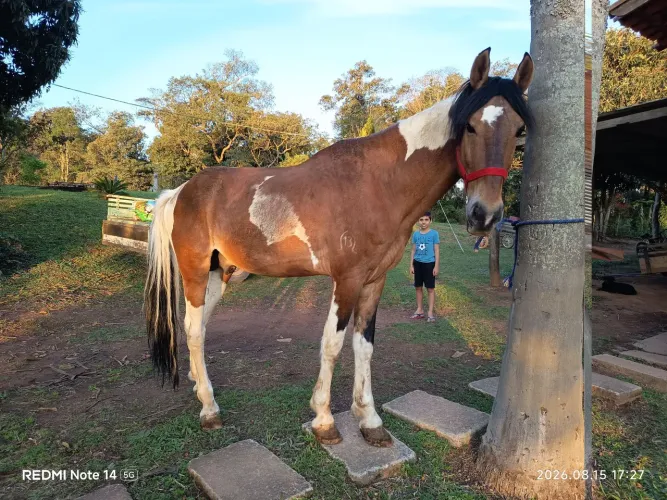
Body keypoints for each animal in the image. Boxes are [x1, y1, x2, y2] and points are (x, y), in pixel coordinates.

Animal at [144, 48, 535, 447]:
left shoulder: (374, 281)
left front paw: (370, 420)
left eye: (519, 131)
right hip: (194, 271)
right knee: (193, 329)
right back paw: (209, 409)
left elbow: (364, 346)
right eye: (469, 126)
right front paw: (324, 420)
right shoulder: (347, 279)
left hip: (220, 273)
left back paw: (198, 384)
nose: (484, 214)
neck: (379, 183)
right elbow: (331, 346)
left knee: (199, 327)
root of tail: (182, 191)